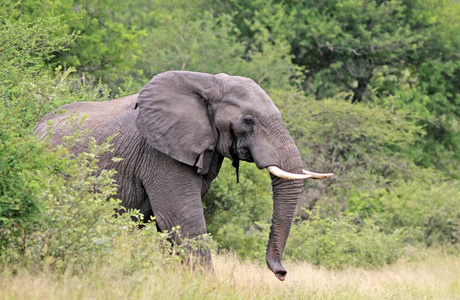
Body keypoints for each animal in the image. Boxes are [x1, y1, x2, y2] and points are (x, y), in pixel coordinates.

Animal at [36, 71, 330, 282]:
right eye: (248, 121)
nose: (282, 273)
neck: (206, 83)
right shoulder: (159, 152)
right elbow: (182, 220)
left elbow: (171, 227)